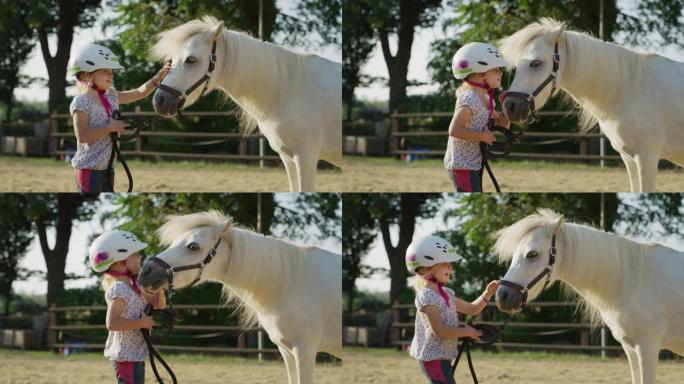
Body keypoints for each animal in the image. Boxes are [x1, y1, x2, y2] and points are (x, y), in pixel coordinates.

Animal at [150, 16, 342, 192]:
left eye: (191, 59)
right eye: (171, 61)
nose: (159, 101)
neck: (288, 89)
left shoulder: (306, 157)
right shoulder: (288, 158)